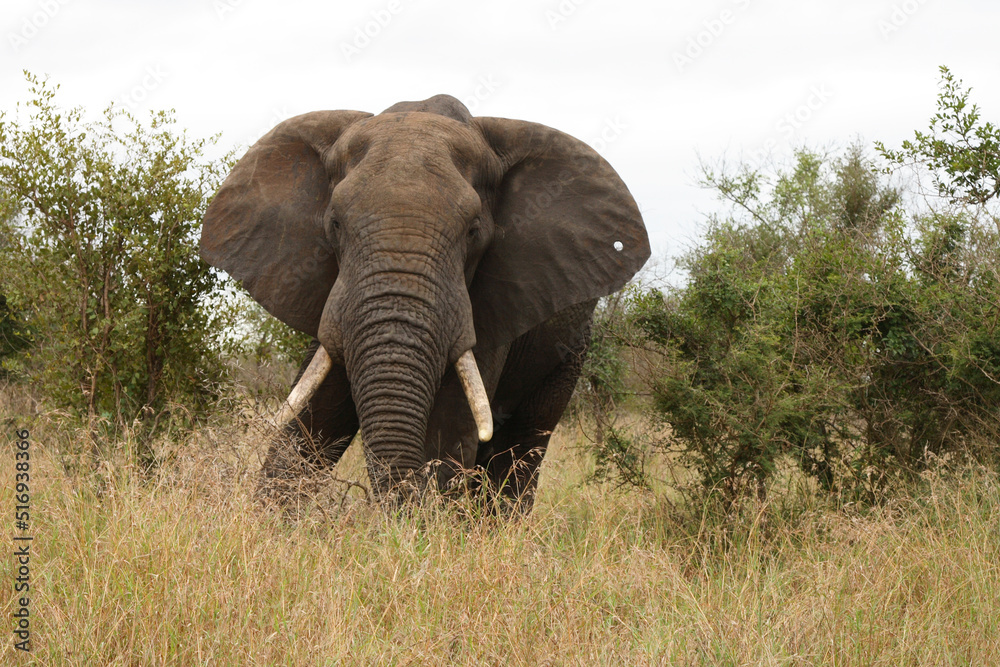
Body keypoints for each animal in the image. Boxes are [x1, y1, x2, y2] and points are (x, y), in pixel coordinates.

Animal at [200, 94, 649, 509]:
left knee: (520, 446)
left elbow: (448, 432)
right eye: (335, 225)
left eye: (473, 232)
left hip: (570, 348)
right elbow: (312, 419)